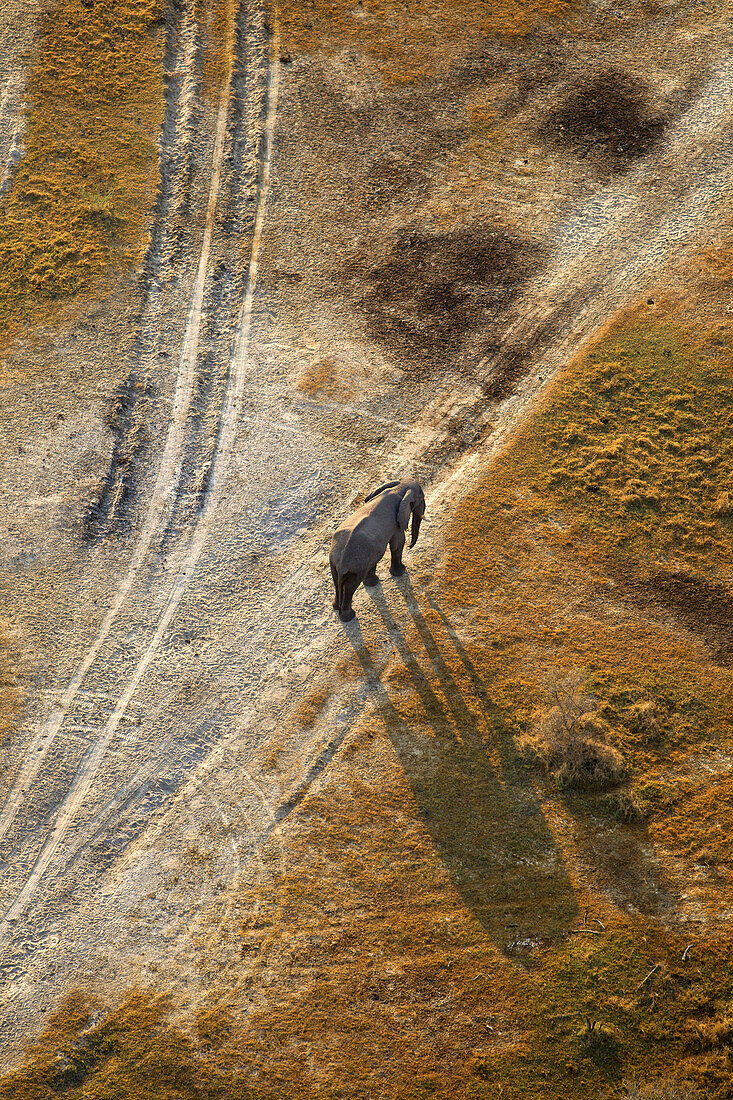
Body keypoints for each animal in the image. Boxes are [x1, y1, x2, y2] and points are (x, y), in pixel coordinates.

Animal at [330, 479, 424, 624]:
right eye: (421, 497)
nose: (411, 546)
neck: (399, 488)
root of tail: (341, 565)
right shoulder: (396, 523)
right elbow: (398, 543)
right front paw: (401, 571)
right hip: (355, 567)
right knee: (350, 587)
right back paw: (349, 617)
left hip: (334, 563)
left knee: (337, 582)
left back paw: (337, 608)